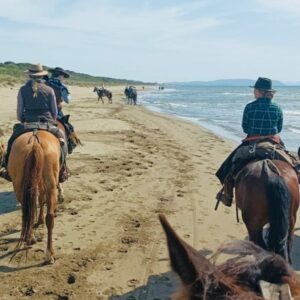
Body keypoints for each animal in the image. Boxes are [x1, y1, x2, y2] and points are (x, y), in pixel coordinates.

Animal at [7, 130, 61, 264]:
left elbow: (39, 200)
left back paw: (31, 238)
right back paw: (49, 253)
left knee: (28, 212)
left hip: (19, 184)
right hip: (50, 183)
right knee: (47, 216)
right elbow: (42, 199)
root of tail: (35, 142)